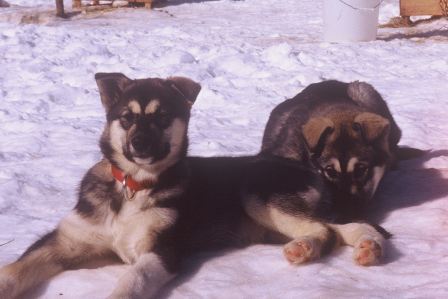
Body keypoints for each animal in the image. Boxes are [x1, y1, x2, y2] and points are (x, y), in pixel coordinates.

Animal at [0, 75, 384, 299]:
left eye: (162, 117)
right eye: (127, 118)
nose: (139, 143)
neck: (132, 188)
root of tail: (306, 166)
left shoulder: (161, 251)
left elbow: (131, 281)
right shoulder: (64, 242)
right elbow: (14, 271)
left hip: (258, 191)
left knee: (329, 228)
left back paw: (326, 247)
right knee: (337, 227)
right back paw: (355, 246)